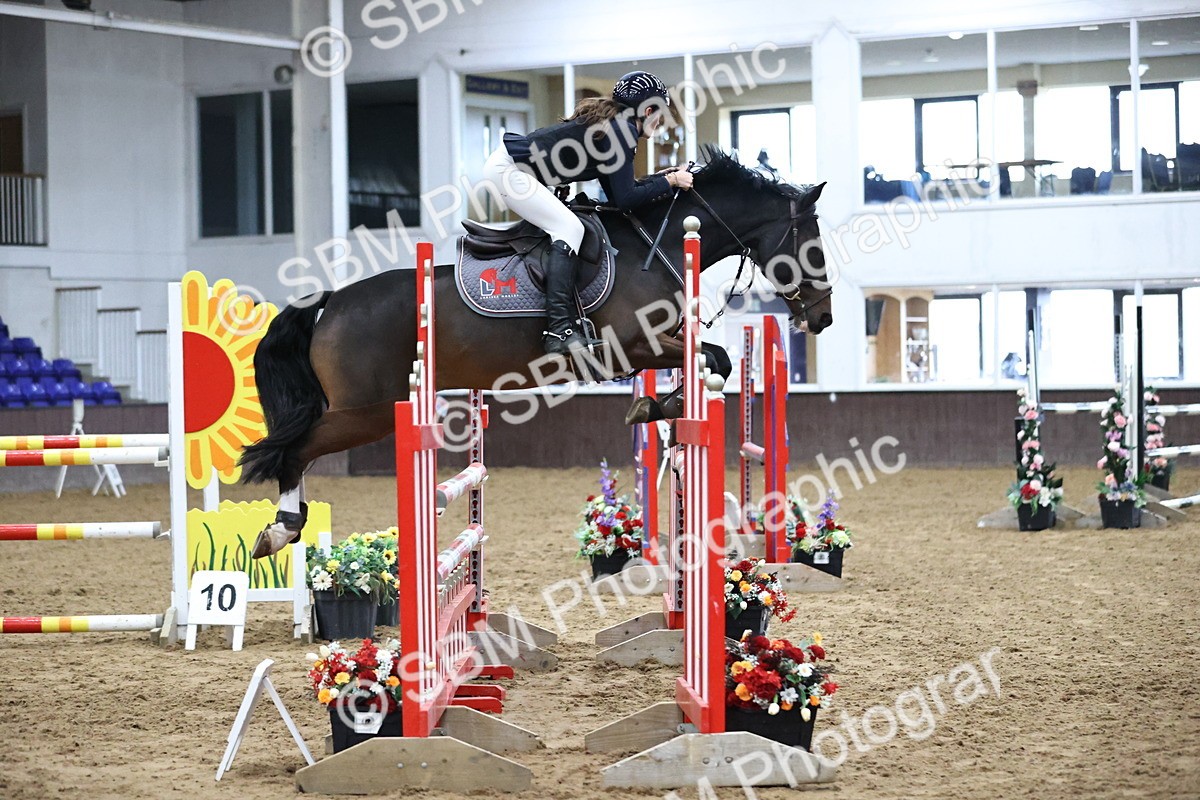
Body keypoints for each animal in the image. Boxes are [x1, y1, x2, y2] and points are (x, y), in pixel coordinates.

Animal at [241, 148, 833, 558]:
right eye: (812, 243)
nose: (823, 317)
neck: (655, 245)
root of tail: (331, 301)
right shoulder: (629, 347)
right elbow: (716, 359)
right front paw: (656, 405)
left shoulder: (652, 349)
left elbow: (710, 362)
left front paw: (656, 407)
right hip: (368, 412)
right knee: (294, 451)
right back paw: (281, 529)